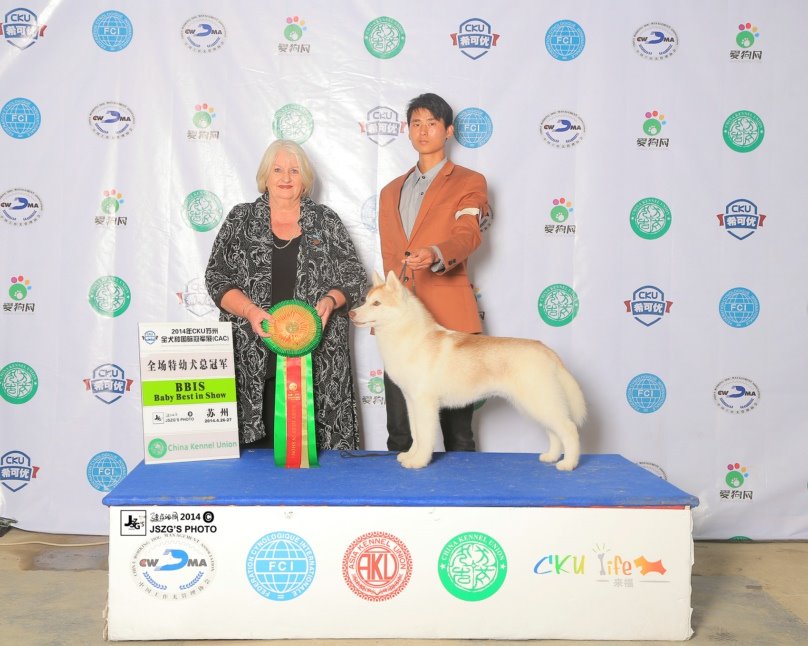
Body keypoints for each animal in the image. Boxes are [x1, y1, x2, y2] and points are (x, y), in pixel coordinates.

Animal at [349, 271, 587, 470]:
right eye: (365, 301)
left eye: (376, 303)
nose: (351, 313)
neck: (408, 336)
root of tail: (546, 349)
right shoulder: (411, 400)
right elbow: (416, 433)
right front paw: (410, 455)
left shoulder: (425, 402)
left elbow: (425, 435)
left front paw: (419, 461)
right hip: (535, 404)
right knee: (553, 431)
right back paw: (551, 457)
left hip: (539, 401)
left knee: (569, 429)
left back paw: (568, 463)